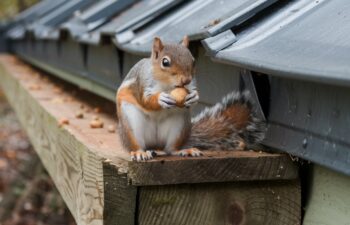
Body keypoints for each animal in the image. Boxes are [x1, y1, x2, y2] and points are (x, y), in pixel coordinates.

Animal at [115, 36, 266, 161]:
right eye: (165, 62)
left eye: (193, 60)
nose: (186, 80)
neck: (167, 85)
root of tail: (155, 144)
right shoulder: (142, 82)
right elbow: (145, 101)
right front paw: (160, 99)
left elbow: (193, 93)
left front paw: (194, 96)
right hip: (131, 122)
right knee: (137, 145)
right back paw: (139, 152)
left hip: (180, 124)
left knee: (170, 149)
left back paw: (184, 150)